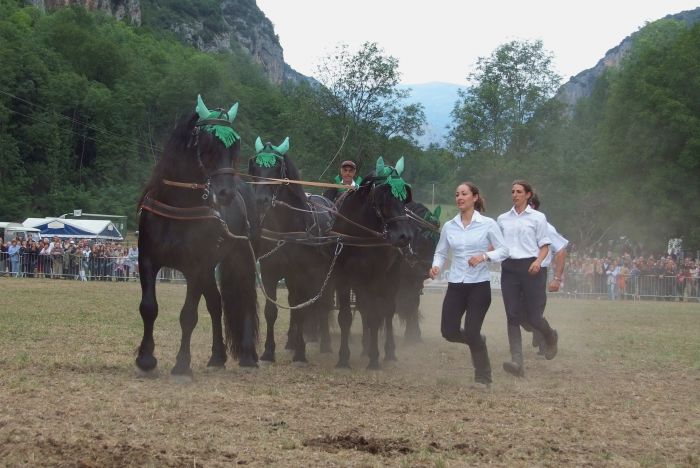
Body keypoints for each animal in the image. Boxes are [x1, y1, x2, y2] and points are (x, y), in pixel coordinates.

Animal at [135, 96, 258, 380]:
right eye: (208, 142)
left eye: (235, 145)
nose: (225, 193)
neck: (177, 204)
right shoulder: (147, 260)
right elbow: (149, 307)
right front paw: (146, 359)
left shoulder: (196, 267)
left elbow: (188, 315)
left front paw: (182, 365)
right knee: (215, 304)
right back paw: (217, 357)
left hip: (239, 257)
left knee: (244, 297)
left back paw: (248, 354)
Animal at [249, 137, 336, 364]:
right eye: (255, 166)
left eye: (277, 168)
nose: (260, 200)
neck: (286, 231)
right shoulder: (270, 273)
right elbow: (271, 311)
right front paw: (269, 352)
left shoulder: (300, 274)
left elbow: (300, 310)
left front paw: (300, 352)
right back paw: (291, 341)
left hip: (326, 273)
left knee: (323, 303)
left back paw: (325, 343)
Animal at [332, 157, 412, 370]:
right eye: (383, 199)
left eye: (404, 199)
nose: (405, 236)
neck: (358, 234)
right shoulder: (342, 278)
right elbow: (345, 317)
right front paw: (343, 358)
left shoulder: (376, 277)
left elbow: (376, 315)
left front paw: (375, 359)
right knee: (364, 309)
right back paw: (365, 347)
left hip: (391, 277)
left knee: (387, 311)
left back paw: (388, 351)